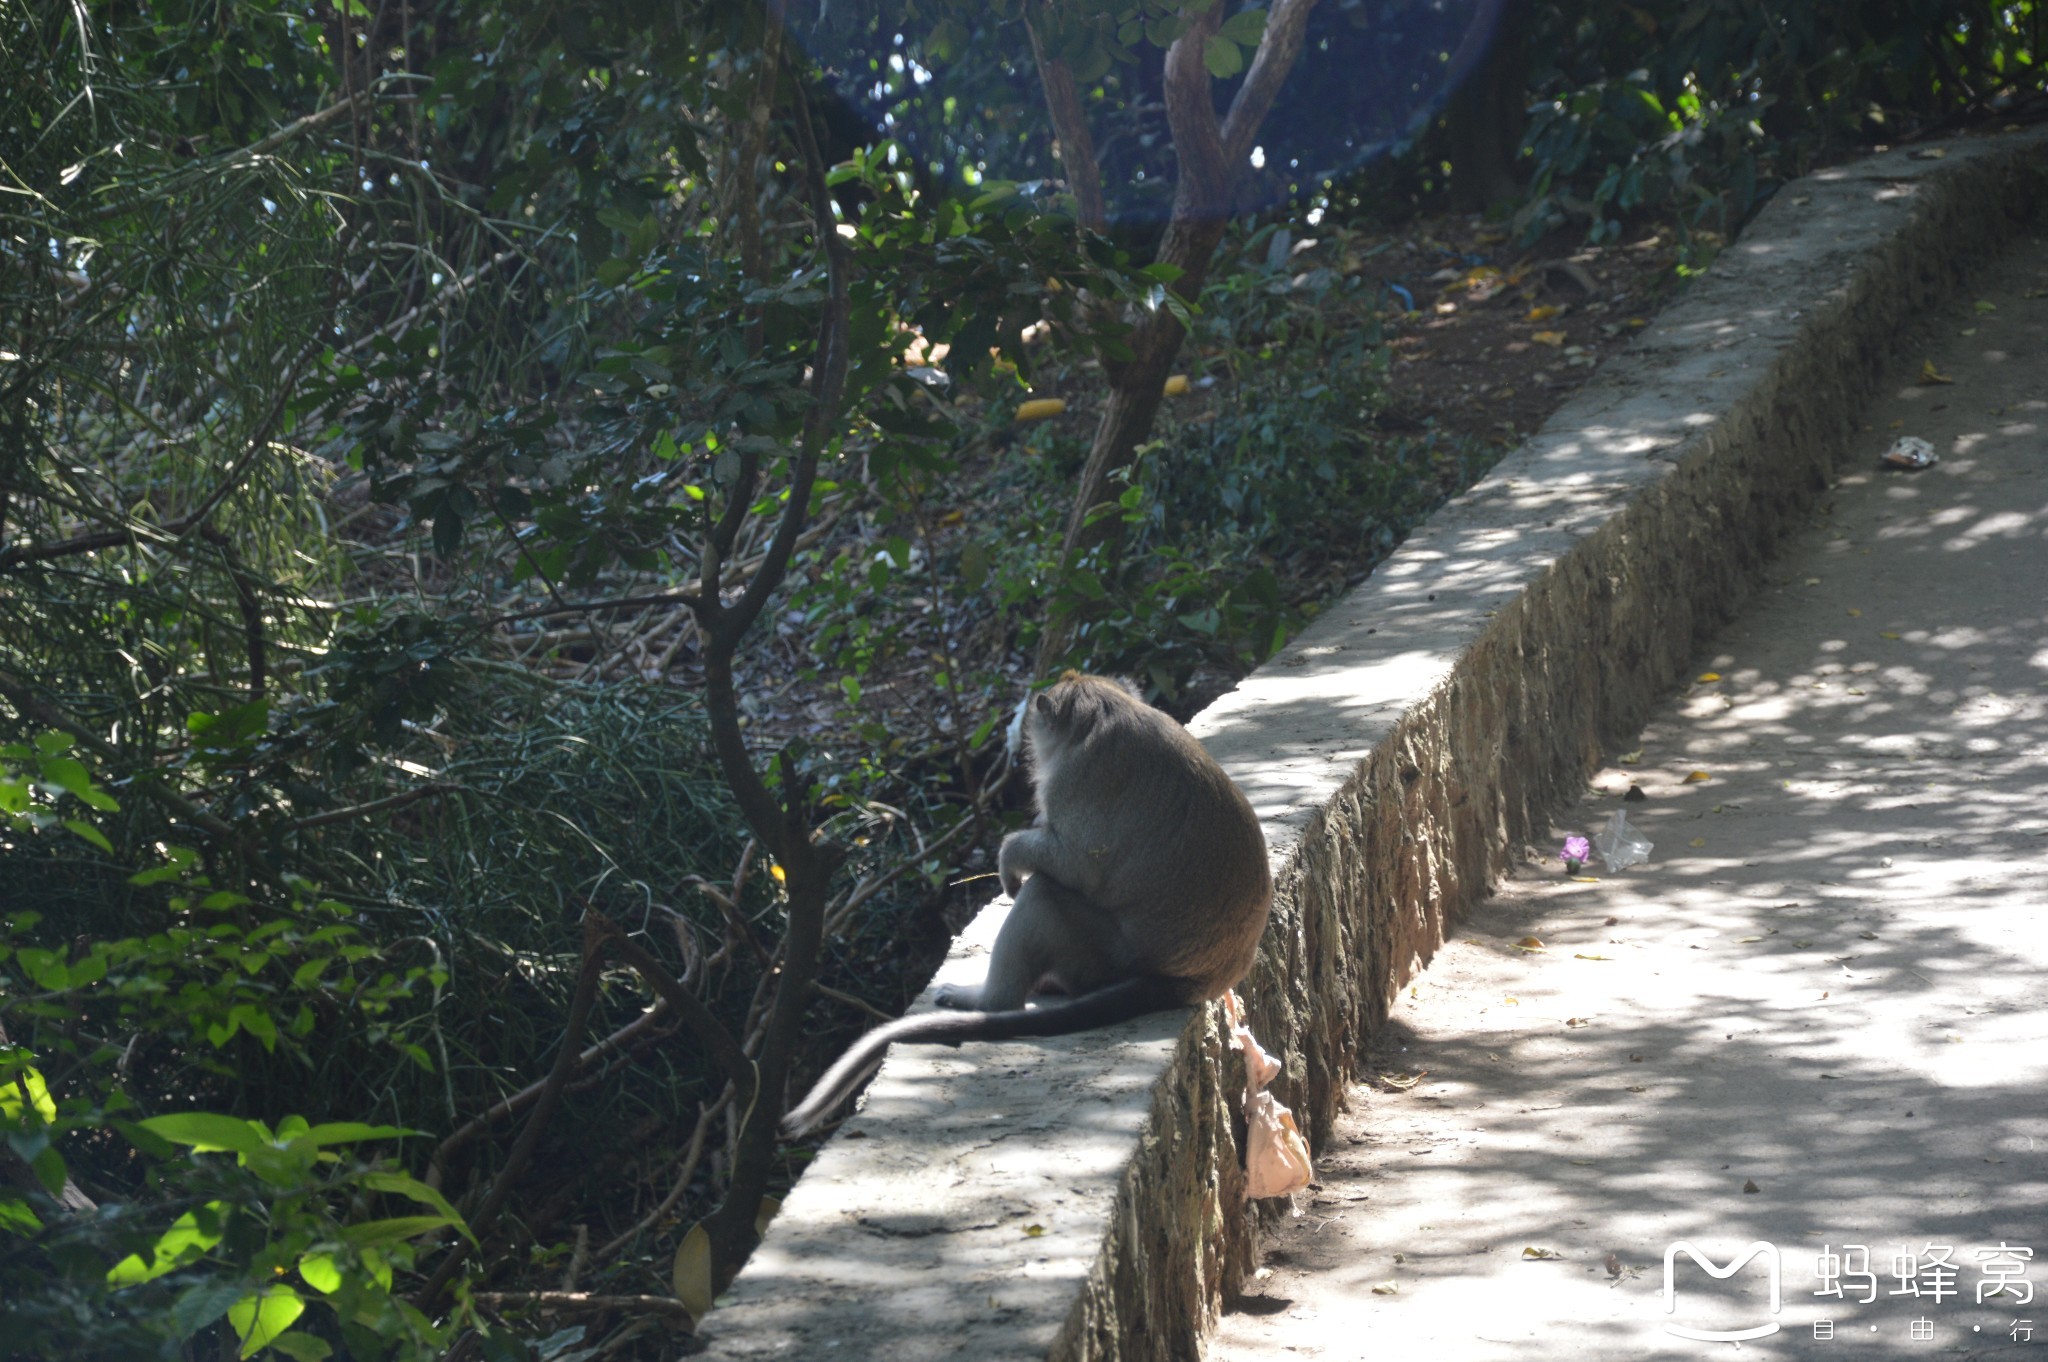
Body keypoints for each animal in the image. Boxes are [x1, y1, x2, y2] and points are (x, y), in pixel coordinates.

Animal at [778, 671, 1269, 1138]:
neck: (1106, 709)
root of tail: (1199, 979)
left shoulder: (1075, 778)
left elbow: (1075, 864)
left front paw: (1010, 857)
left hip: (1104, 958)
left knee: (1044, 896)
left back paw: (990, 1001)